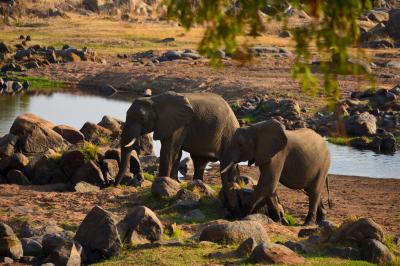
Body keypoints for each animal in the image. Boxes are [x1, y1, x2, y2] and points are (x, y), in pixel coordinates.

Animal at [114, 91, 242, 187]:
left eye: (142, 118)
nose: (114, 184)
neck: (155, 100)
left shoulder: (179, 125)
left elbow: (169, 151)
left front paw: (161, 181)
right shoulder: (169, 125)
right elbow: (176, 153)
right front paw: (174, 182)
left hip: (229, 135)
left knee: (226, 162)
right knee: (199, 161)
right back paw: (198, 183)